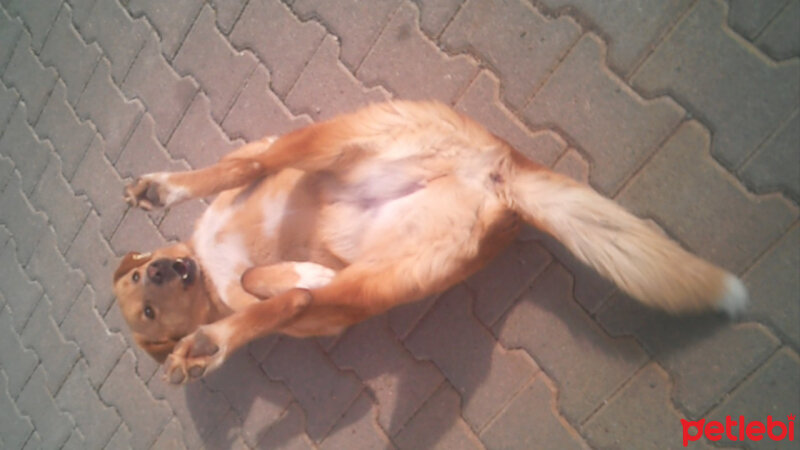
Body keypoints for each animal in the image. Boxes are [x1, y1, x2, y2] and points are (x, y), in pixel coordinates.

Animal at [109, 101, 748, 384]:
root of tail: (496, 174)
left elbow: (235, 169)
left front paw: (171, 192)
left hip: (329, 142)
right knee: (310, 299)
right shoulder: (298, 311)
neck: (205, 269)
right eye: (145, 309)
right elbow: (277, 291)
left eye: (141, 280)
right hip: (383, 279)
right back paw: (213, 341)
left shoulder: (249, 177)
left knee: (267, 166)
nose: (163, 272)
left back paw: (163, 197)